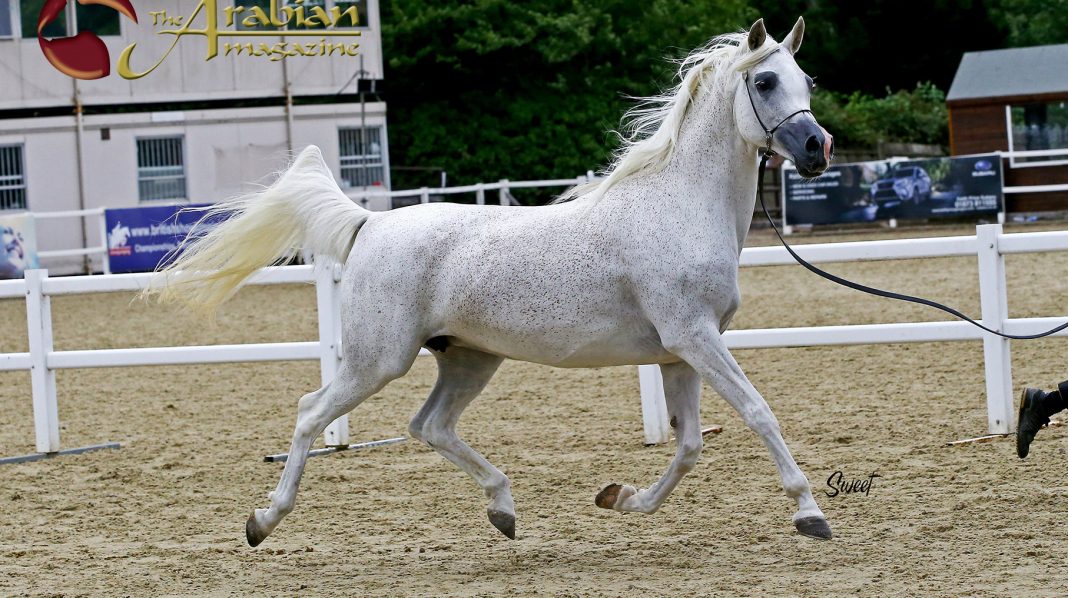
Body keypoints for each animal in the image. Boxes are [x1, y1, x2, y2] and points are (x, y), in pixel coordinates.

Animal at [152, 15, 833, 546]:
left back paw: (503, 510)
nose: (817, 147)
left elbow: (689, 445)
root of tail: (371, 223)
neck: (680, 205)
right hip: (378, 359)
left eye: (808, 81)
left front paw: (621, 498)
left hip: (468, 358)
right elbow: (758, 412)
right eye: (765, 81)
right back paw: (263, 520)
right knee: (310, 413)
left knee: (428, 426)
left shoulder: (679, 351)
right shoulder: (695, 338)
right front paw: (810, 514)